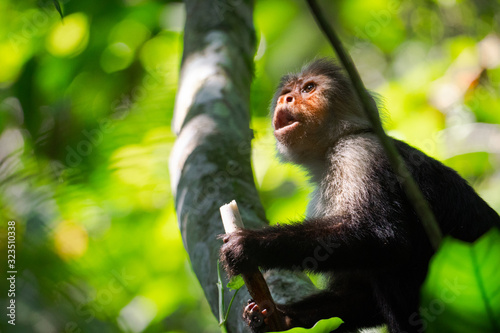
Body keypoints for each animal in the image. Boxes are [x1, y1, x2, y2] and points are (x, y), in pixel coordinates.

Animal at [220, 58, 500, 330]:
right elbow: (359, 295)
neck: (329, 152)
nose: (285, 99)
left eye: (308, 88)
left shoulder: (359, 152)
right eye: (286, 93)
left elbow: (384, 237)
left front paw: (251, 245)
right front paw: (280, 317)